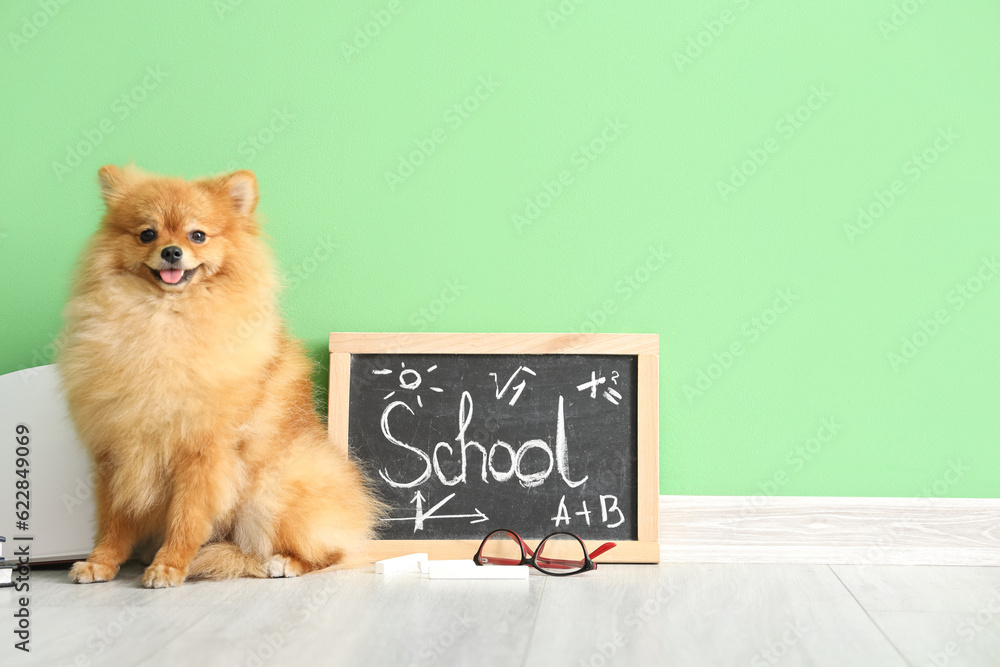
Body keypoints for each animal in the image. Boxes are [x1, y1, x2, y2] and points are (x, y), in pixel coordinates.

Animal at [56, 167, 382, 588]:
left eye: (197, 235)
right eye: (147, 234)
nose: (172, 251)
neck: (162, 322)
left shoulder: (203, 453)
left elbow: (187, 517)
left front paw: (168, 566)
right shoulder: (118, 449)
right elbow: (114, 519)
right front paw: (101, 562)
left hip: (274, 489)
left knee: (331, 552)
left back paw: (283, 562)